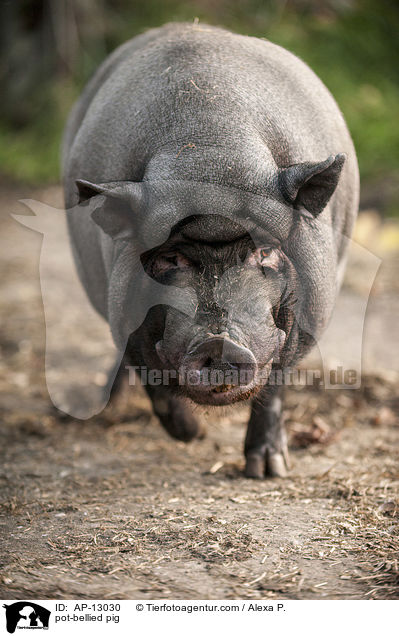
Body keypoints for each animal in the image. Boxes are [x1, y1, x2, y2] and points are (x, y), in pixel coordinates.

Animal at [62, 22, 360, 476]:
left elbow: (275, 383)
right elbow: (153, 380)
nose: (218, 343)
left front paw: (268, 470)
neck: (209, 156)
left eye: (264, 253)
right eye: (172, 258)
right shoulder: (121, 317)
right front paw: (194, 436)